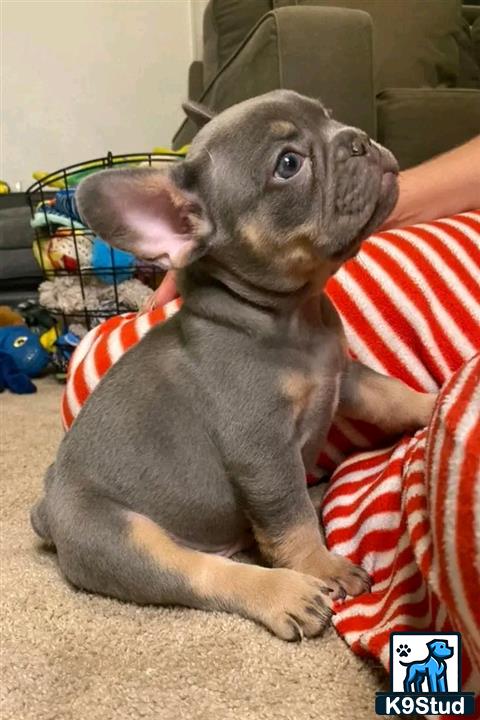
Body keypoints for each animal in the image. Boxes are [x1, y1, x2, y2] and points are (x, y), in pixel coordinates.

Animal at [30, 91, 436, 640]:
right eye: (288, 164)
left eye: (328, 116)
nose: (358, 139)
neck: (291, 318)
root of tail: (50, 509)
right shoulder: (262, 450)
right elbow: (293, 516)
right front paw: (322, 565)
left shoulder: (345, 377)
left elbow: (392, 395)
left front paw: (438, 401)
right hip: (123, 538)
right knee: (199, 575)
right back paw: (286, 594)